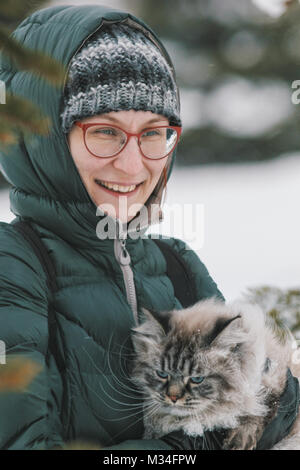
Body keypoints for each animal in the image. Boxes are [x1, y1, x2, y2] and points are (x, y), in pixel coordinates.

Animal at [131, 300, 300, 450]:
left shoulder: (272, 380)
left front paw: (240, 440)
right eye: (162, 374)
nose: (173, 398)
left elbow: (260, 408)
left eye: (197, 379)